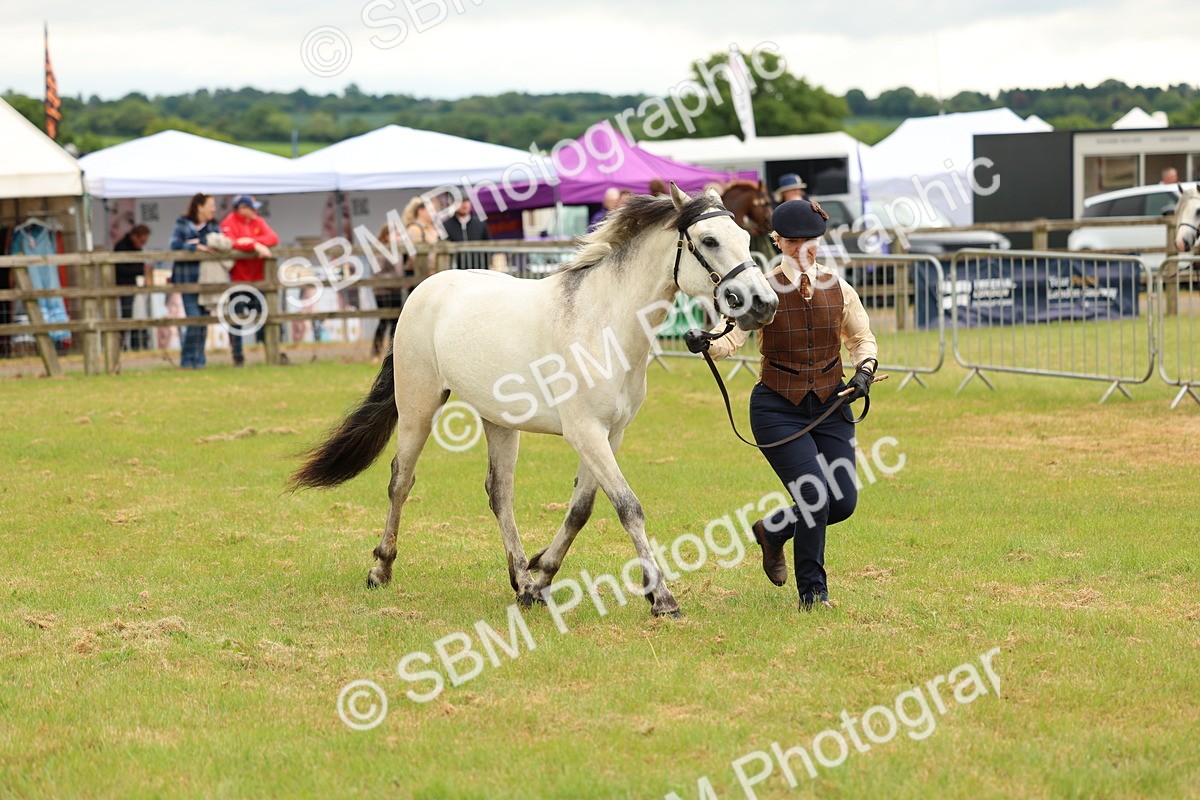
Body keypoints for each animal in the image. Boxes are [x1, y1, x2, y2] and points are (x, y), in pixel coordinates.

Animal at [289, 184, 779, 618]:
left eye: (745, 238)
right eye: (709, 240)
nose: (764, 303)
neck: (602, 324)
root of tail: (425, 288)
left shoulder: (610, 435)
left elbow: (581, 509)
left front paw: (543, 574)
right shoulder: (586, 433)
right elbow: (628, 507)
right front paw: (662, 598)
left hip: (499, 421)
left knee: (499, 494)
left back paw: (521, 582)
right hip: (418, 407)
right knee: (400, 482)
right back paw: (381, 569)